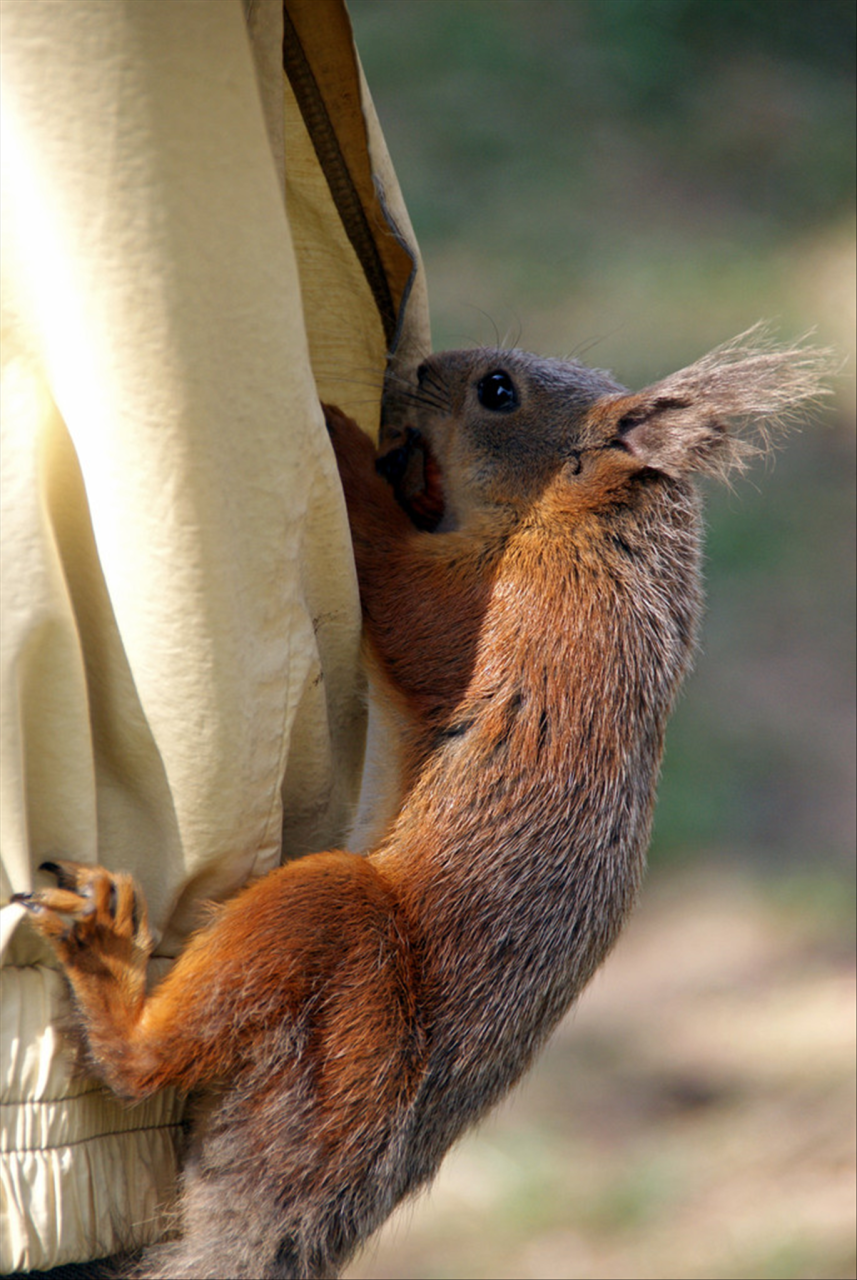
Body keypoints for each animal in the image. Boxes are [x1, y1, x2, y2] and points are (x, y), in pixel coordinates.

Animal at [11, 332, 833, 1280]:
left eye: (497, 392)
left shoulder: (515, 602)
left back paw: (108, 965)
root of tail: (321, 1192)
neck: (588, 523)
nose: (420, 369)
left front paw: (347, 449)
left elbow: (409, 606)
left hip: (343, 960)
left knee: (145, 1064)